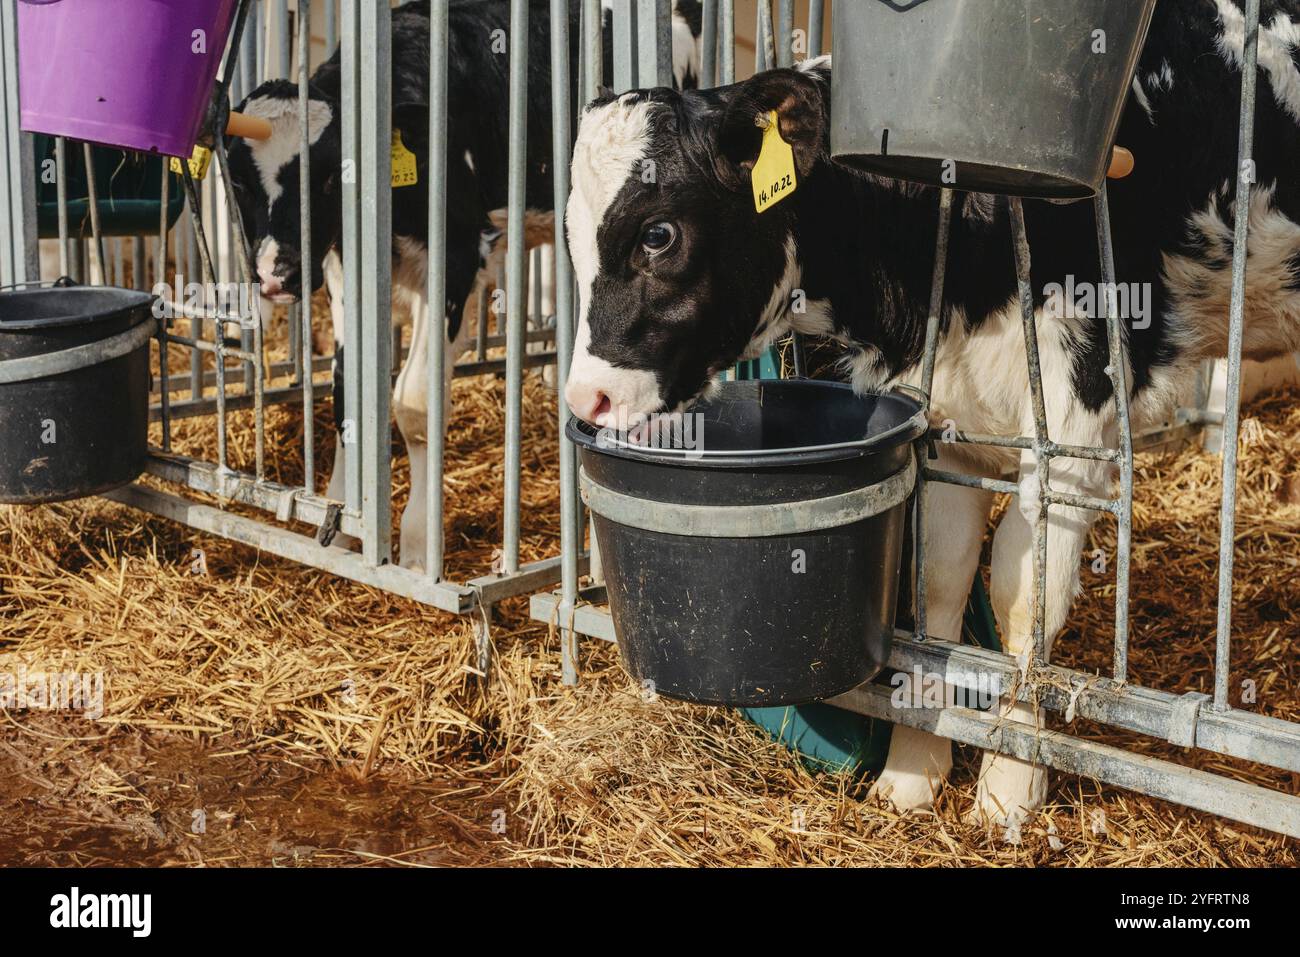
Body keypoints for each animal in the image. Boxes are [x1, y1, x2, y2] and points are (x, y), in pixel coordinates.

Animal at [228, 0, 707, 564]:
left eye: (327, 177)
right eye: (239, 181)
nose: (276, 274)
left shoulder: (456, 258)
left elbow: (414, 404)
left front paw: (416, 547)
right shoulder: (346, 266)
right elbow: (348, 394)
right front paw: (342, 520)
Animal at [566, 1, 1300, 821]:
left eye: (658, 233)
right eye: (570, 238)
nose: (584, 397)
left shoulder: (1077, 420)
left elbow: (1024, 596)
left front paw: (1011, 785)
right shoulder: (944, 425)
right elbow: (940, 583)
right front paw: (915, 764)